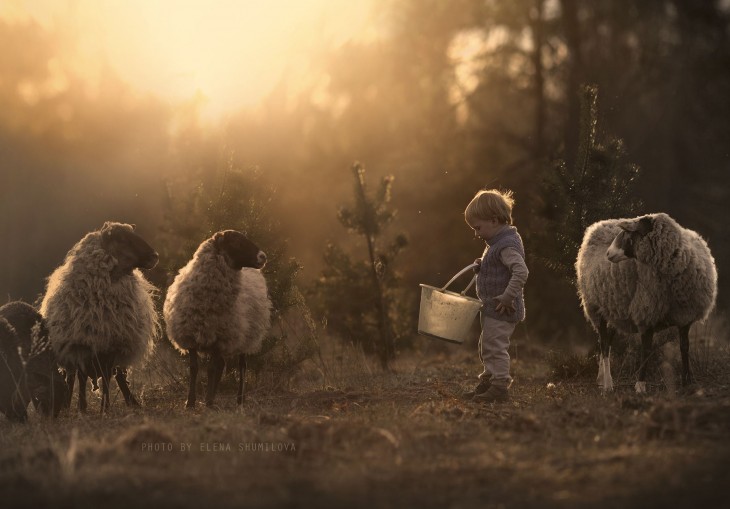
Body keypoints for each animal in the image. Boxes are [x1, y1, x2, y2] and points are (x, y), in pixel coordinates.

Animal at [39, 220, 159, 410]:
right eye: (122, 238)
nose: (155, 256)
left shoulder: (113, 346)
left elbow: (108, 377)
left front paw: (105, 408)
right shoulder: (82, 345)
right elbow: (80, 378)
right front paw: (82, 407)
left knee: (119, 376)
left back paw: (132, 402)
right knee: (71, 377)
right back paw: (66, 404)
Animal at [162, 230, 270, 408]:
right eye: (236, 242)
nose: (263, 256)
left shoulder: (219, 338)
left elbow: (211, 369)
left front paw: (207, 401)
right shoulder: (191, 336)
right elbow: (194, 368)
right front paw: (190, 401)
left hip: (244, 337)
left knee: (241, 366)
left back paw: (238, 399)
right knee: (222, 365)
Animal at [576, 212, 716, 390]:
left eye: (627, 235)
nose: (607, 254)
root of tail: (598, 225)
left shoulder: (685, 317)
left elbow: (685, 348)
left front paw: (687, 382)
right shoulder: (646, 314)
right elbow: (647, 350)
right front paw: (640, 385)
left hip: (615, 310)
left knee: (606, 342)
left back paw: (601, 379)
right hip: (595, 307)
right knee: (604, 345)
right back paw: (608, 384)